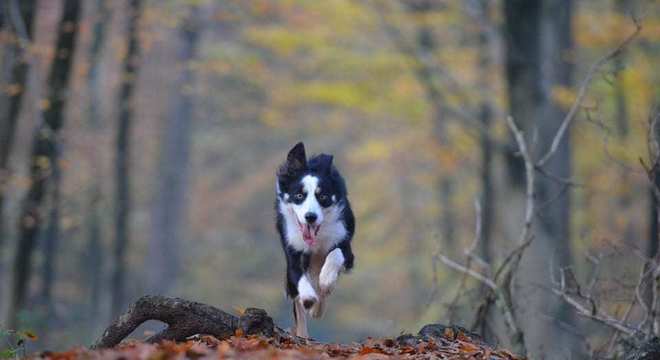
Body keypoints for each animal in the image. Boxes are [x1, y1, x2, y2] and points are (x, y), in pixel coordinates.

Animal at [274, 143, 356, 338]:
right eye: (299, 196)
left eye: (323, 197)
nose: (310, 217)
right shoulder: (292, 248)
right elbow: (298, 276)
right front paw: (309, 297)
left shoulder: (345, 244)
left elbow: (335, 254)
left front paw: (326, 280)